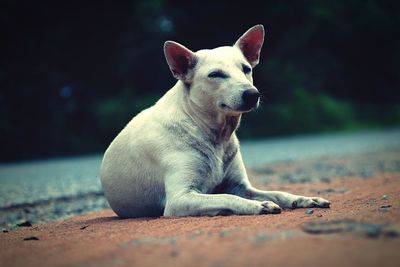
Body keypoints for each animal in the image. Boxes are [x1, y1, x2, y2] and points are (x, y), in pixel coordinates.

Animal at [98, 24, 330, 219]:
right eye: (215, 74)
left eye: (246, 69)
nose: (252, 94)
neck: (212, 131)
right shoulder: (180, 198)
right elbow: (227, 197)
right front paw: (256, 205)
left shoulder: (241, 186)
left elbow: (277, 193)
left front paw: (303, 199)